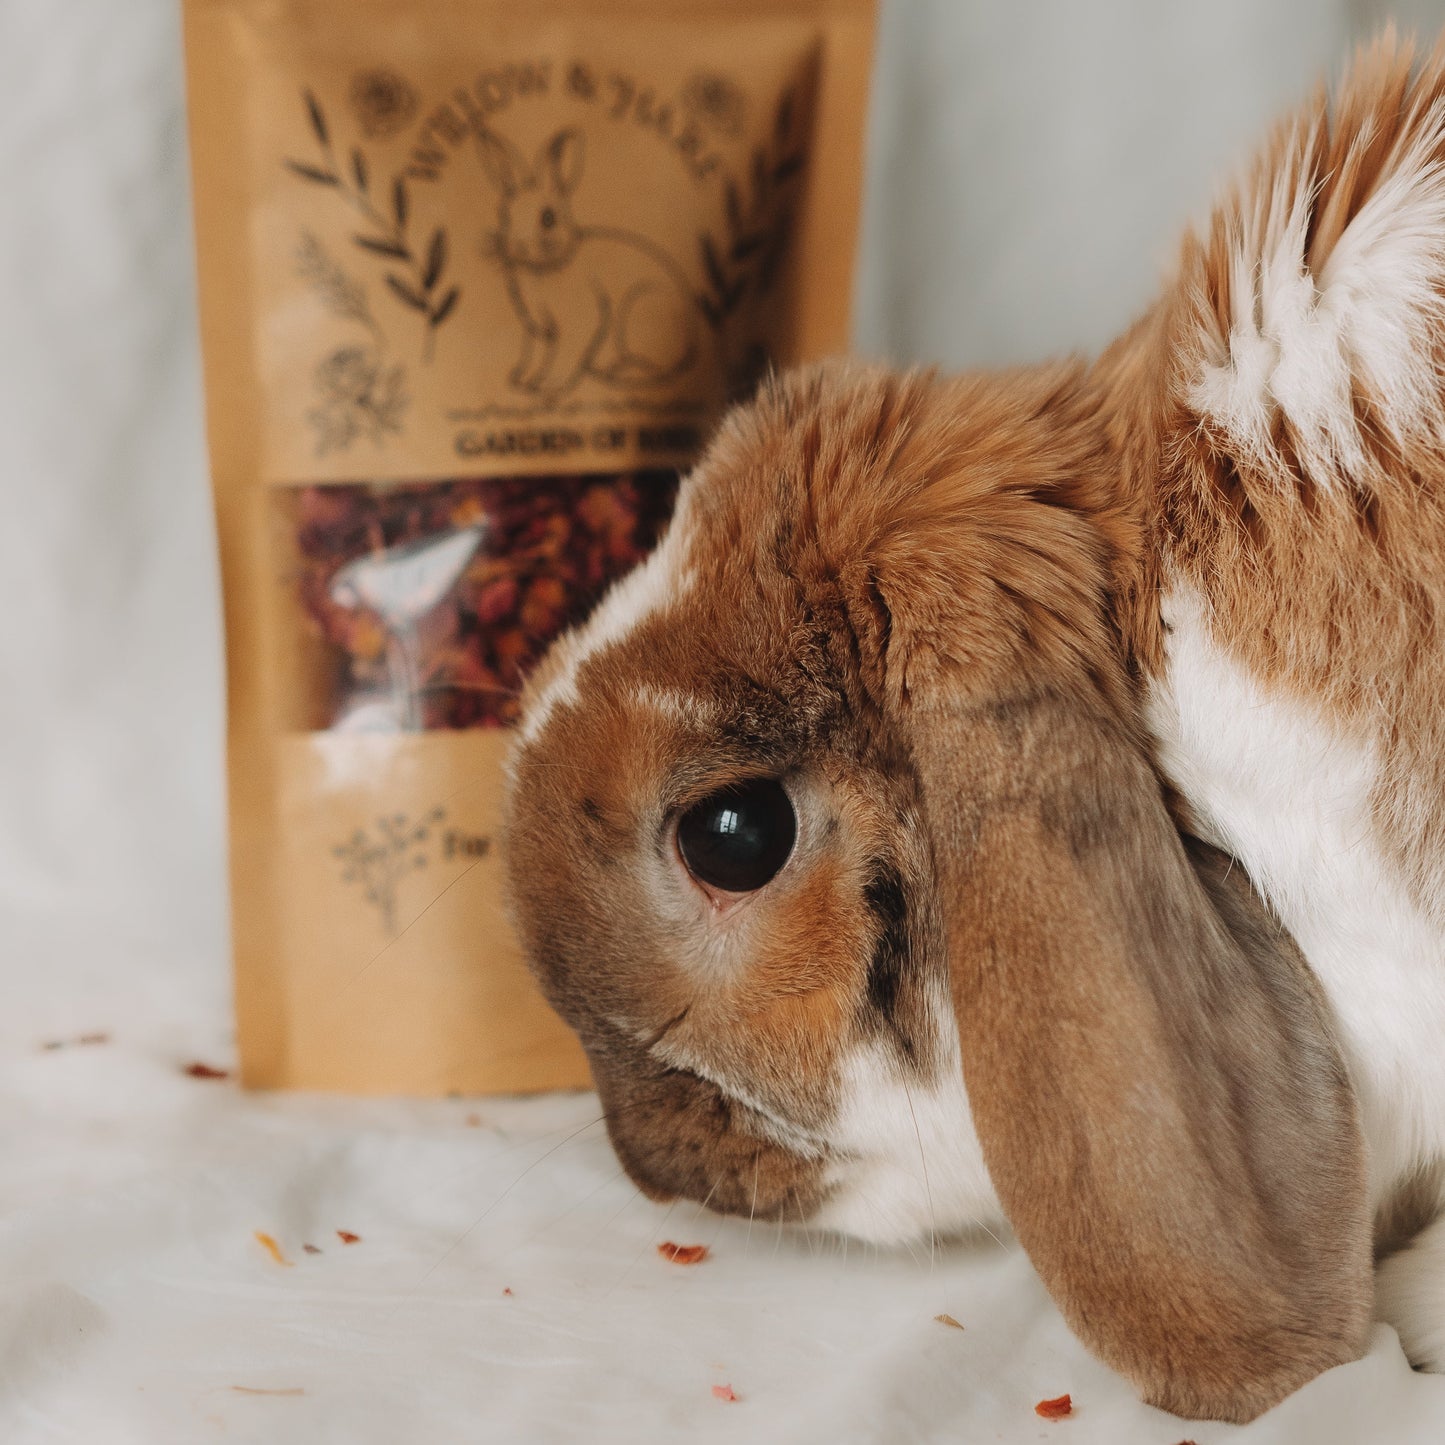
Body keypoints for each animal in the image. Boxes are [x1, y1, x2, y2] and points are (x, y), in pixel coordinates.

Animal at [477, 127, 699, 402]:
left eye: (548, 218)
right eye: (505, 215)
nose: (519, 247)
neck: (543, 268)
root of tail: (689, 342)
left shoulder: (577, 325)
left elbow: (566, 354)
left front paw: (547, 386)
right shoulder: (535, 332)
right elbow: (534, 354)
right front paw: (522, 380)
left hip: (638, 315)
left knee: (658, 369)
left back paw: (621, 373)